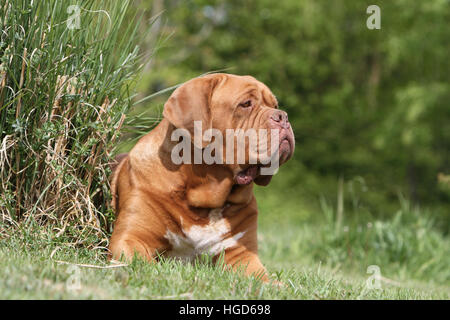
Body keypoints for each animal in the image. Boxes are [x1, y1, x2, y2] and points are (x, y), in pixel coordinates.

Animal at [109, 73, 296, 280]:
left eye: (275, 105)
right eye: (246, 104)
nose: (283, 116)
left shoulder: (241, 254)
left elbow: (262, 277)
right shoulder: (131, 237)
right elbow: (144, 263)